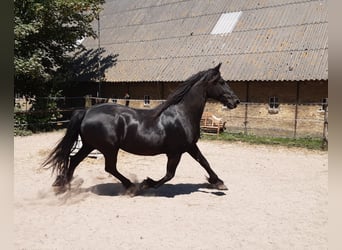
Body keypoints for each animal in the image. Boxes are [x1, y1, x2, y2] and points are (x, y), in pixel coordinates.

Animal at [42, 63, 239, 194]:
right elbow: (170, 174)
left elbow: (204, 162)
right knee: (109, 168)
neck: (182, 114)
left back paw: (63, 185)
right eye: (221, 82)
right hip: (108, 148)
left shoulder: (190, 147)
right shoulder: (175, 152)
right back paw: (131, 186)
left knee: (74, 160)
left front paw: (218, 182)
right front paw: (147, 183)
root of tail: (87, 111)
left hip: (90, 145)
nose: (235, 101)